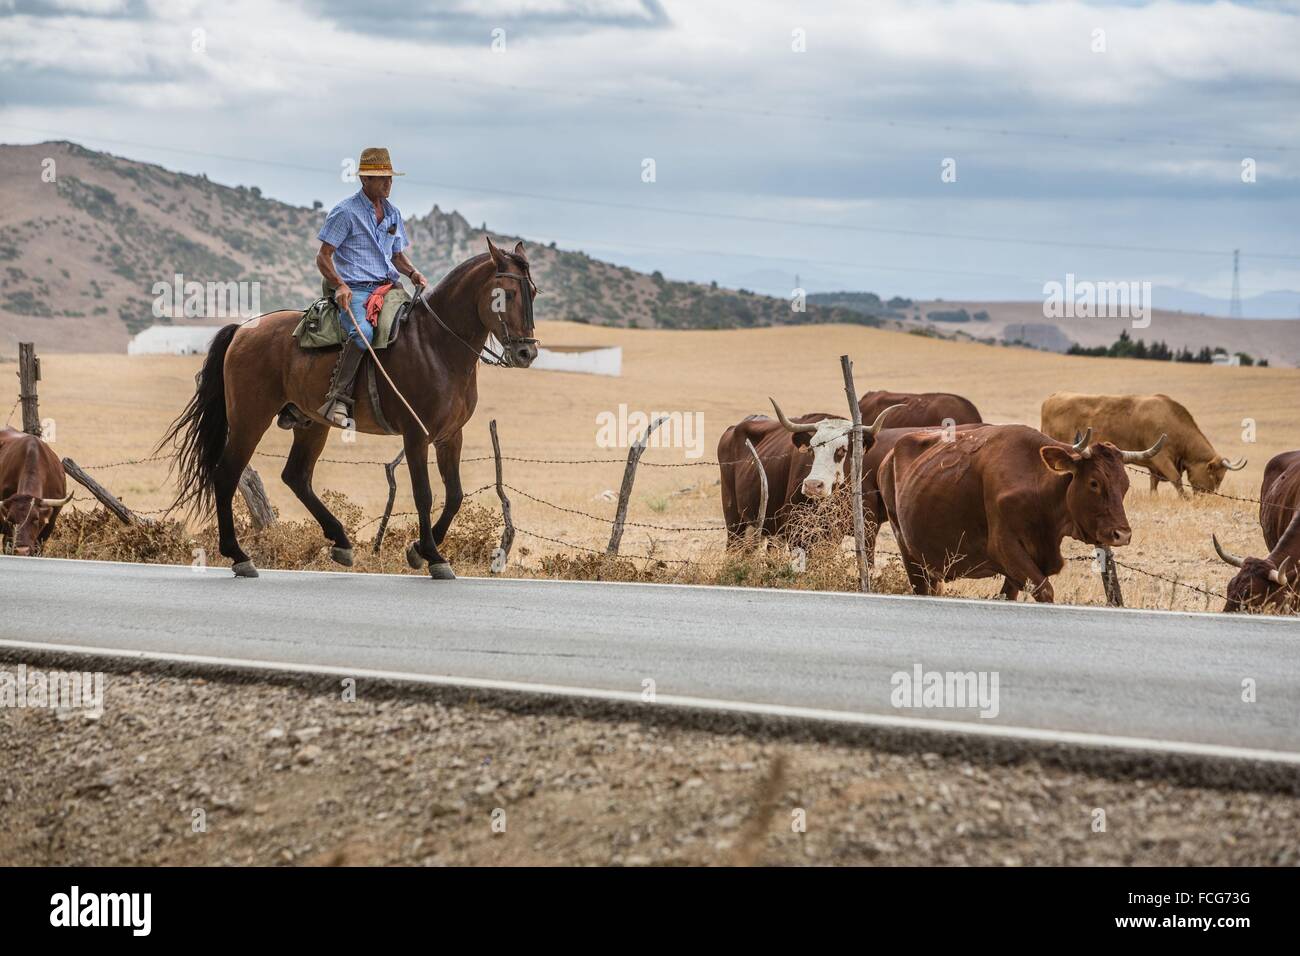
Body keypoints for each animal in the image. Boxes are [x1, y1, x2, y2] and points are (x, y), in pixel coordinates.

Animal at [161, 240, 538, 582]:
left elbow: (455, 495)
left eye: (533, 292)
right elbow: (424, 494)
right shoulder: (417, 435)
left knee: (296, 476)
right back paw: (239, 556)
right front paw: (433, 556)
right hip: (249, 420)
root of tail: (243, 329)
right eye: (505, 294)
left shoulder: (450, 436)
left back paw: (340, 542)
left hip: (312, 424)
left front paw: (419, 550)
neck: (436, 345)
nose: (526, 353)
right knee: (227, 474)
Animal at [873, 424, 1170, 600]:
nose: (1122, 534)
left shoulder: (1023, 566)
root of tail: (889, 456)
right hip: (908, 551)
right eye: (1094, 482)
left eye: (1125, 484)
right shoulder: (1005, 548)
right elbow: (1045, 591)